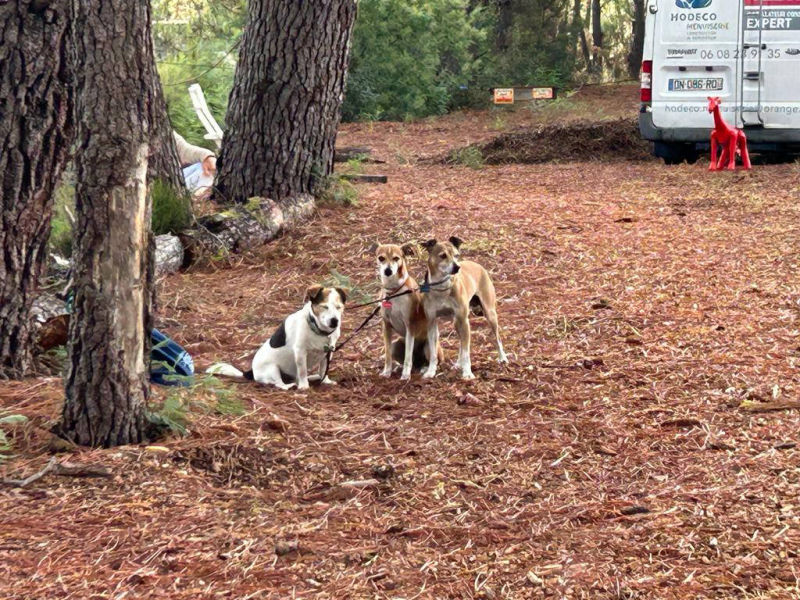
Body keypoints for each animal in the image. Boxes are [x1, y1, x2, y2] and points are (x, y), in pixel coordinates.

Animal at [206, 285, 346, 390]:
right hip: (272, 369)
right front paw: (304, 386)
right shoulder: (300, 352)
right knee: (279, 384)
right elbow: (302, 371)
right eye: (324, 307)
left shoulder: (328, 352)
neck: (318, 330)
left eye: (339, 307)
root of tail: (251, 372)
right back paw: (289, 385)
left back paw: (312, 377)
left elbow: (323, 370)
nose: (335, 321)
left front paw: (326, 381)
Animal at [374, 243, 443, 379]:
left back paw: (425, 369)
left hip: (429, 345)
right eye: (381, 258)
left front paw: (405, 375)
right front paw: (387, 371)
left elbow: (408, 356)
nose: (388, 271)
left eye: (396, 258)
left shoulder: (410, 325)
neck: (394, 292)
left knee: (432, 361)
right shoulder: (386, 326)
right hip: (396, 345)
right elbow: (388, 355)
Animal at [420, 237, 507, 380]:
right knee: (461, 342)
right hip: (456, 322)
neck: (442, 288)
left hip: (489, 314)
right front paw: (431, 371)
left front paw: (467, 373)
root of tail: (478, 265)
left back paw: (503, 357)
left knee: (497, 338)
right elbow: (433, 352)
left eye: (456, 255)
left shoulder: (464, 321)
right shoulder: (431, 323)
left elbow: (467, 351)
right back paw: (458, 363)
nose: (457, 267)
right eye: (442, 256)